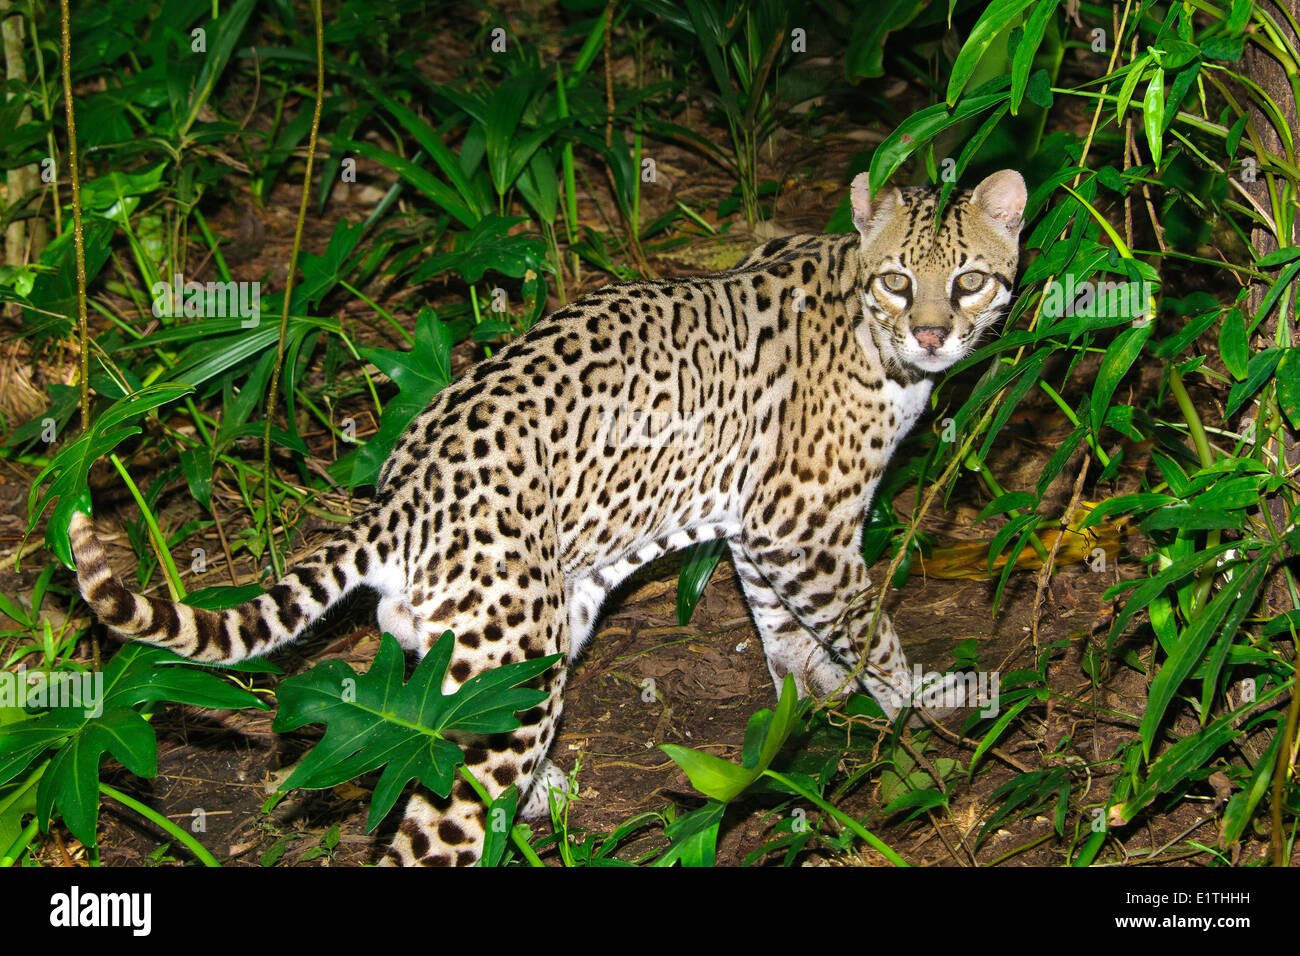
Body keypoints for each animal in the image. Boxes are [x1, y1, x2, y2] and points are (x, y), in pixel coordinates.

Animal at [71, 170, 1024, 868]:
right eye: (900, 282)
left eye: (968, 280)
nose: (933, 336)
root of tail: (402, 496)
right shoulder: (802, 525)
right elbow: (868, 624)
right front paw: (919, 699)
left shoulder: (761, 523)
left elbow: (782, 625)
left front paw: (808, 697)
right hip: (512, 653)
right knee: (437, 829)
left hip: (514, 641)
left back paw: (549, 791)